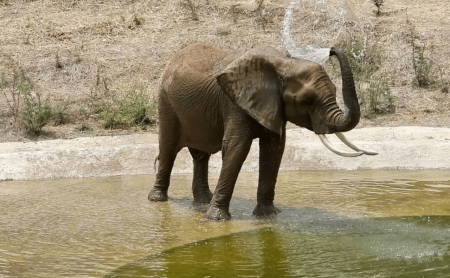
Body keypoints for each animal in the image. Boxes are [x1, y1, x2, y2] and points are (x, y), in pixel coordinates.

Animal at [149, 43, 376, 220]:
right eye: (307, 101)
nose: (331, 50)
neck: (283, 63)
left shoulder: (273, 106)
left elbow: (274, 150)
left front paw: (268, 215)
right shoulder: (234, 103)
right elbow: (237, 148)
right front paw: (217, 219)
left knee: (200, 156)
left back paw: (203, 201)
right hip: (165, 101)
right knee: (168, 148)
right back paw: (158, 200)